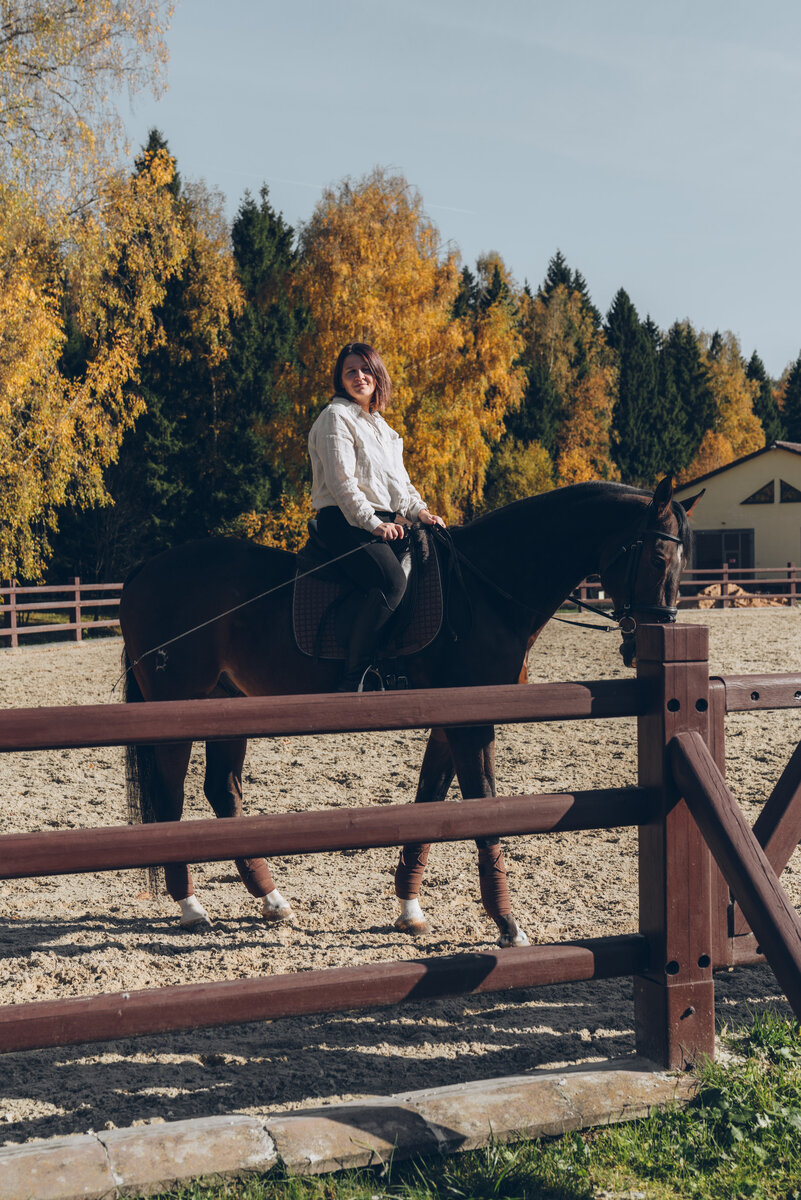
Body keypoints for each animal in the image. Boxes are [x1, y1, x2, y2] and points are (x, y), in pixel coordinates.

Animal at [118, 477, 700, 945]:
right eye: (656, 559)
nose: (651, 636)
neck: (487, 589)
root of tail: (147, 567)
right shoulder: (471, 724)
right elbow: (483, 812)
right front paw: (507, 925)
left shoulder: (448, 723)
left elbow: (429, 805)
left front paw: (410, 907)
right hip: (177, 709)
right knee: (171, 797)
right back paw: (191, 907)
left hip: (228, 704)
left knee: (223, 792)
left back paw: (271, 899)